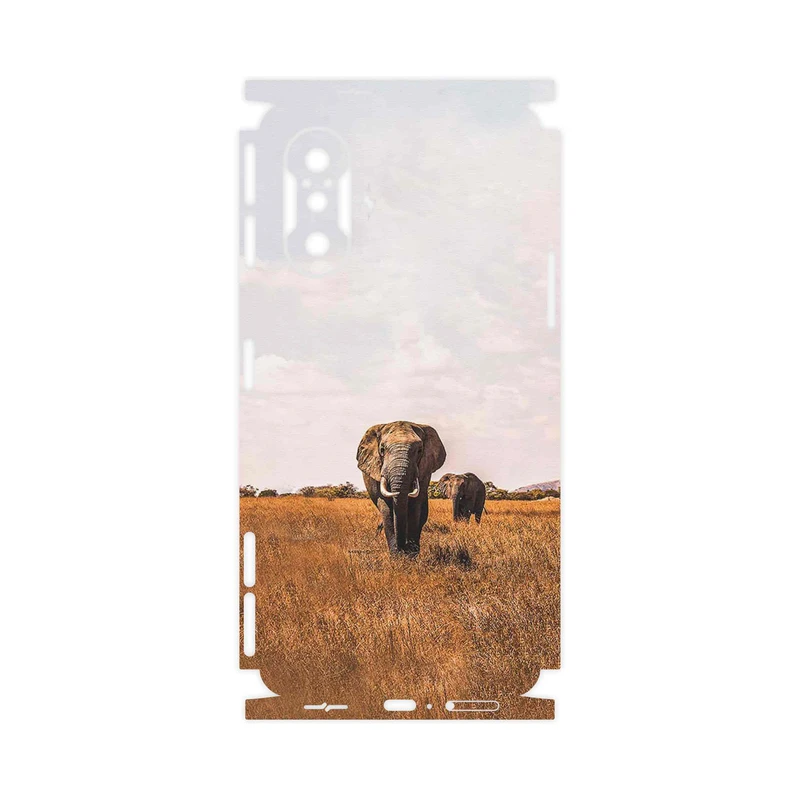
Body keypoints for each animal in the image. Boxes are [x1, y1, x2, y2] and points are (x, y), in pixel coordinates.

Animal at [357, 421, 447, 556]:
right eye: (382, 449)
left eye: (420, 450)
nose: (402, 549)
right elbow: (387, 508)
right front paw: (396, 556)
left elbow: (415, 506)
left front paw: (411, 555)